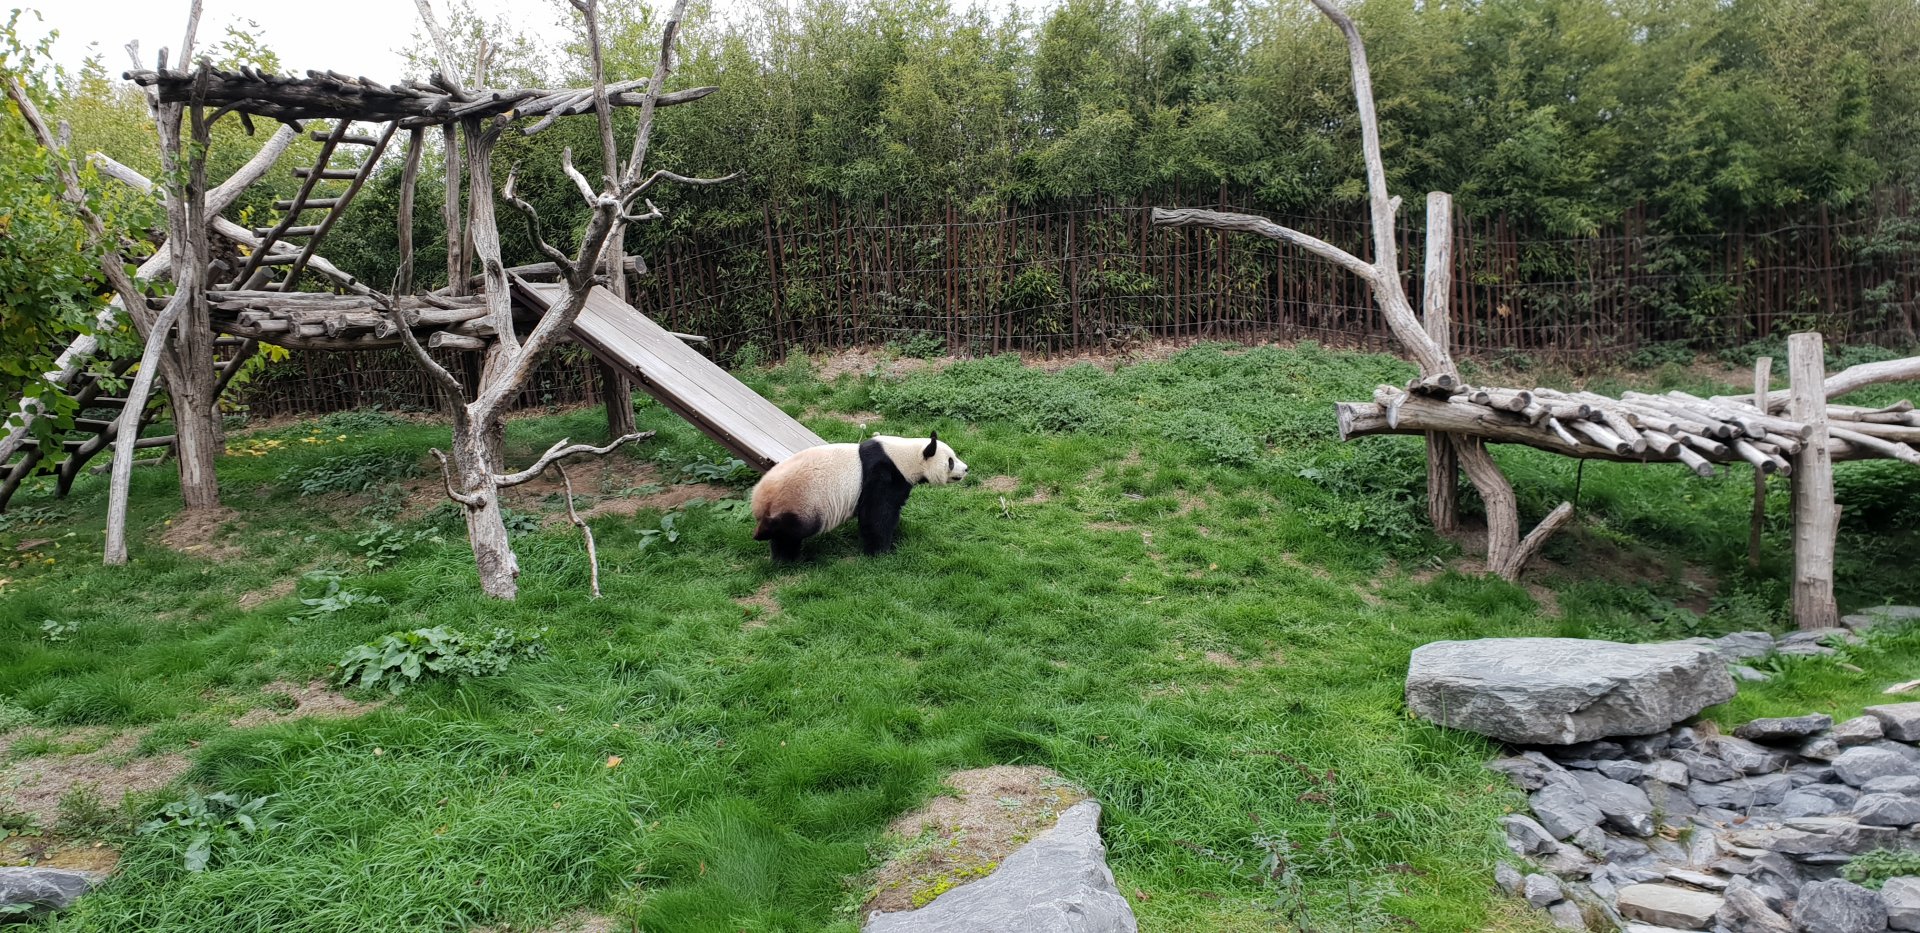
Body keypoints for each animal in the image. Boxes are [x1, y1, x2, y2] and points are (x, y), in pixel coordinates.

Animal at [750, 432, 968, 561]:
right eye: (950, 461)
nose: (966, 468)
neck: (905, 456)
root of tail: (761, 497)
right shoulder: (882, 474)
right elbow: (877, 515)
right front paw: (880, 552)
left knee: (786, 539)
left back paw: (784, 559)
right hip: (803, 501)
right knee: (794, 528)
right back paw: (762, 534)